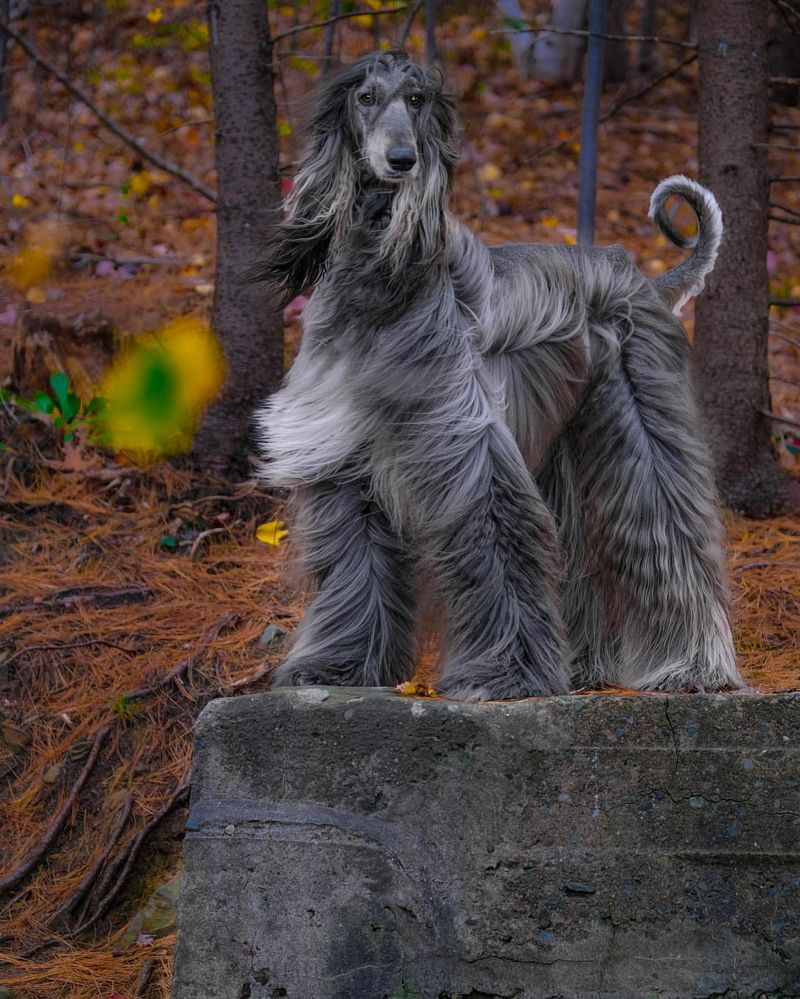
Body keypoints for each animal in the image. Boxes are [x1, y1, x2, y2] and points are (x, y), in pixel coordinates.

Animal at [255, 48, 744, 704]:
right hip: (560, 440)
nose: (402, 160)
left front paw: (506, 676)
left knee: (665, 524)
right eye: (365, 98)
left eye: (417, 100)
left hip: (640, 407)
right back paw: (583, 666)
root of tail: (644, 278)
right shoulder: (340, 447)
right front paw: (340, 667)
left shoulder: (462, 439)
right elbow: (355, 561)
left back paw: (692, 666)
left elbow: (495, 530)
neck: (385, 278)